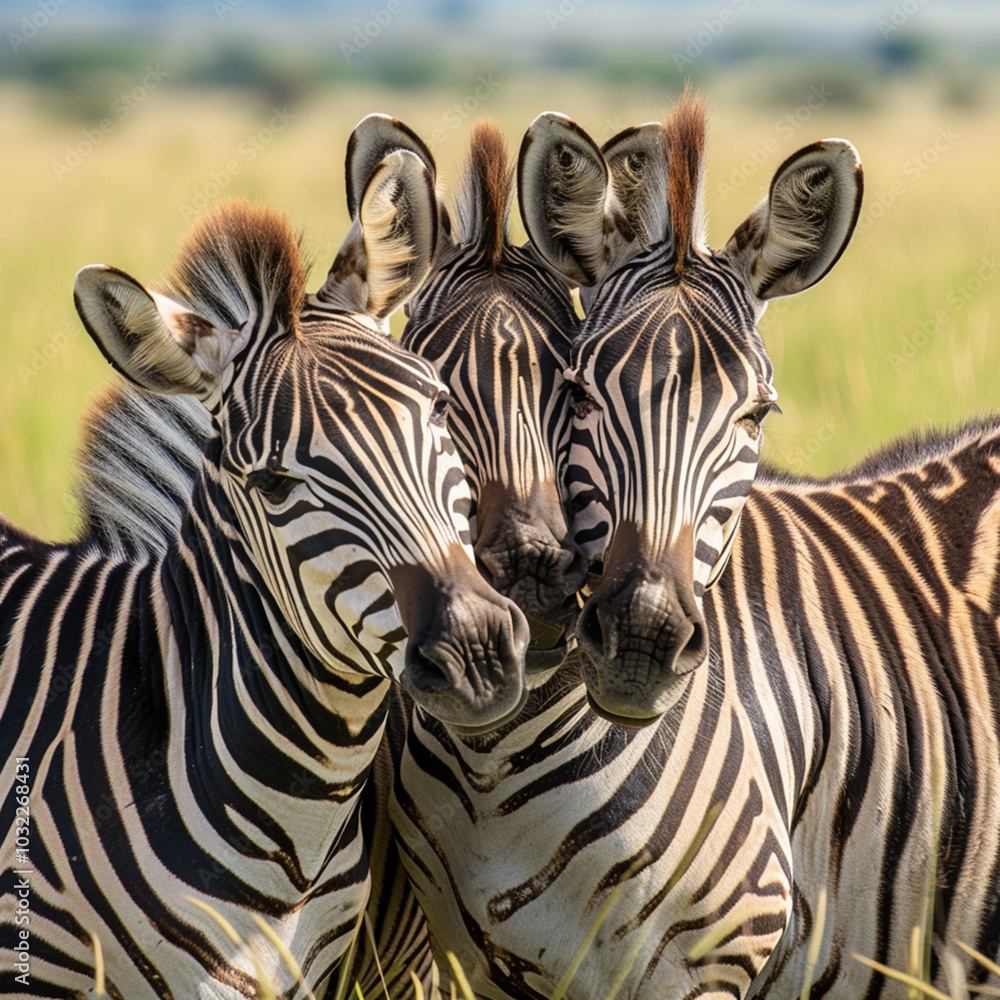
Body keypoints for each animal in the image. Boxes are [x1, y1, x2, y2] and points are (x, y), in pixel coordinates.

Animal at [372, 99, 1000, 1000]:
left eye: (758, 415)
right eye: (583, 393)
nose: (642, 640)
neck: (496, 765)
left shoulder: (713, 958)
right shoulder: (479, 967)